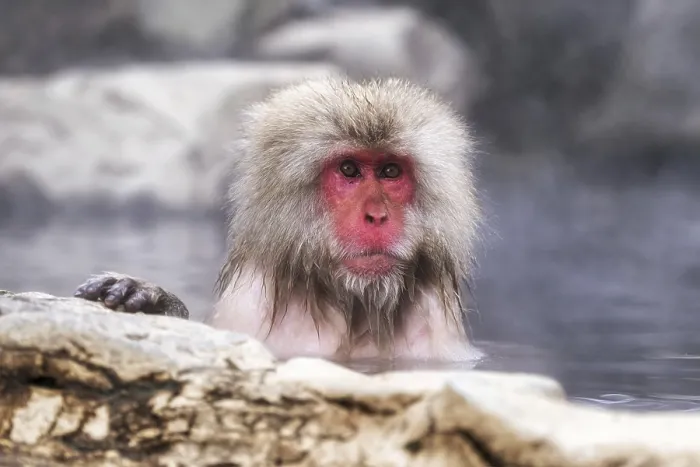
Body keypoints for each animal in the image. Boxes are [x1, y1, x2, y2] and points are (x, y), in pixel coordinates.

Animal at [74, 75, 482, 362]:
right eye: (349, 169)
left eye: (390, 171)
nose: (376, 216)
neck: (352, 305)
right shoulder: (246, 306)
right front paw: (154, 299)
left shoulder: (438, 329)